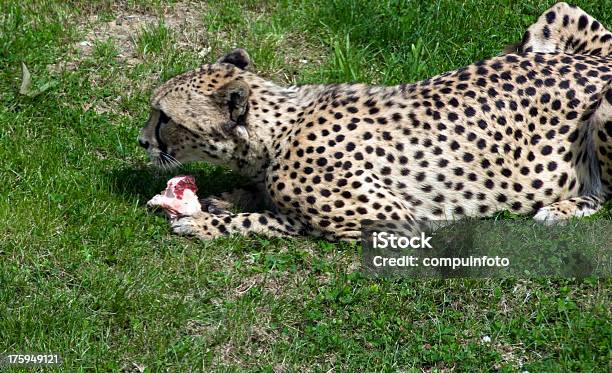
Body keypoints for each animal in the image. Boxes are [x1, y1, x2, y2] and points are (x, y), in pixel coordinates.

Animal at [136, 2, 608, 240]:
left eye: (163, 117)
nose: (141, 141)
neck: (278, 131)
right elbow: (258, 197)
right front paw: (231, 197)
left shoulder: (392, 219)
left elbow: (269, 220)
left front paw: (204, 221)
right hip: (553, 17)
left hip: (605, 111)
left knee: (606, 196)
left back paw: (562, 208)